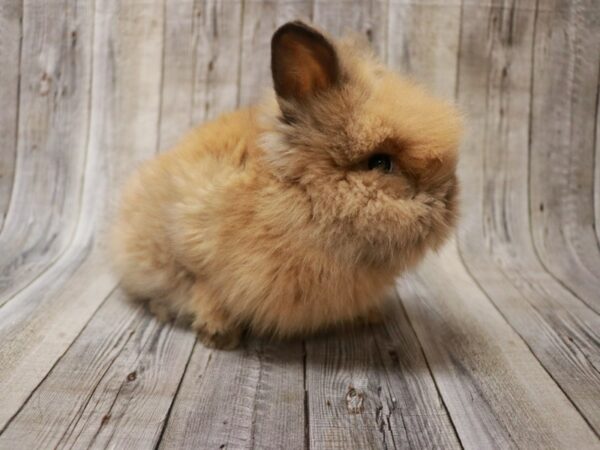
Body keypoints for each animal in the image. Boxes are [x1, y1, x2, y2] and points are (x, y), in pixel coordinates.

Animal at [110, 21, 462, 350]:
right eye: (380, 163)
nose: (447, 200)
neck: (298, 198)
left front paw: (370, 316)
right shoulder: (195, 254)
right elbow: (205, 294)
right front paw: (219, 336)